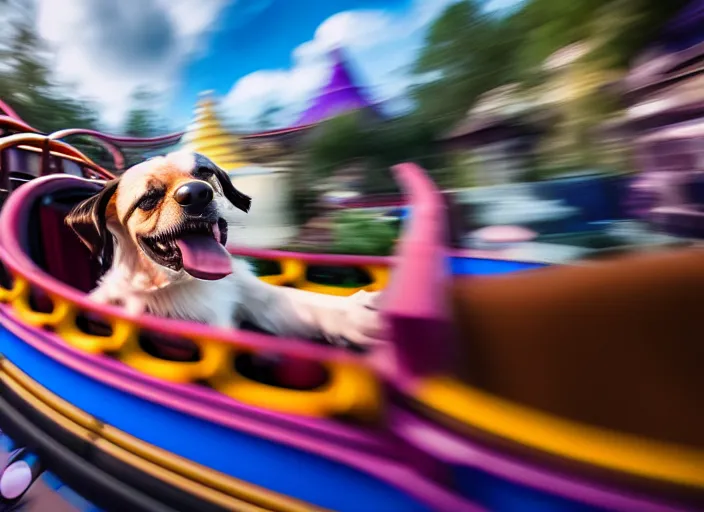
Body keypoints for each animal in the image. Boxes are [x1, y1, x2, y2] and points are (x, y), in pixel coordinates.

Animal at [65, 148, 382, 348]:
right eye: (148, 198)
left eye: (204, 172)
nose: (196, 193)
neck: (188, 282)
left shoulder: (257, 299)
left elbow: (304, 301)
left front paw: (356, 314)